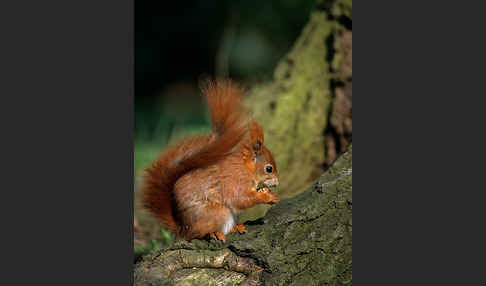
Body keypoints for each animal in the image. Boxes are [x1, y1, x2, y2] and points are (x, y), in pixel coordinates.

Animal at [141, 80, 278, 241]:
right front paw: (266, 196)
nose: (277, 183)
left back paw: (236, 228)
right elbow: (241, 199)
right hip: (216, 213)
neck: (245, 168)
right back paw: (214, 233)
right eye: (268, 168)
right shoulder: (234, 182)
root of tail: (184, 229)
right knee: (202, 233)